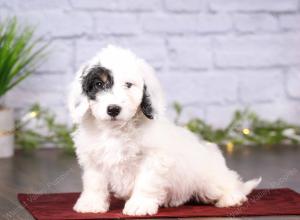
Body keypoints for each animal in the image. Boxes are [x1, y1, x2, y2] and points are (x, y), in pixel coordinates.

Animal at [68, 45, 260, 216]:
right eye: (99, 84)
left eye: (128, 85)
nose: (113, 109)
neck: (117, 129)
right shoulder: (93, 158)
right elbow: (94, 182)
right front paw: (91, 204)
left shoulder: (154, 157)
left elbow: (145, 182)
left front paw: (140, 205)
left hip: (209, 182)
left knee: (229, 183)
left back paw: (231, 197)